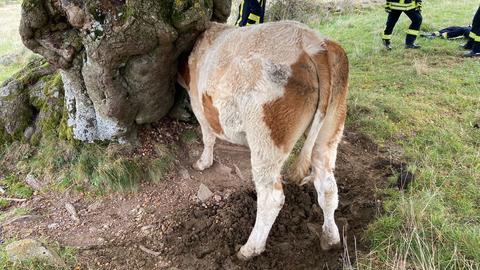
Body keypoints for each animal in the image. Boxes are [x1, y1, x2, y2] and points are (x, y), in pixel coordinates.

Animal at [176, 20, 348, 260]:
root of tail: (310, 42)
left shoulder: (199, 104)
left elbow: (208, 136)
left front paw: (203, 163)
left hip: (267, 138)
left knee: (271, 198)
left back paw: (249, 249)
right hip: (330, 130)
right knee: (328, 186)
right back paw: (330, 238)